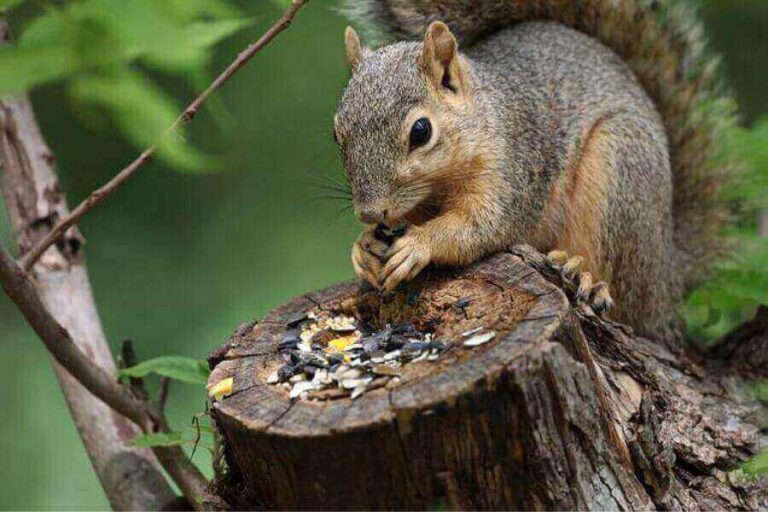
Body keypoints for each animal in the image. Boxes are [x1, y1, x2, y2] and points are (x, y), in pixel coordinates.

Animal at [333, 0, 735, 340]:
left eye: (421, 131)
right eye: (338, 133)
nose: (369, 212)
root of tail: (669, 279)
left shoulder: (514, 170)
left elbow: (481, 227)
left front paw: (417, 244)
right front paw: (364, 247)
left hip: (621, 170)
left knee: (626, 298)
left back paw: (587, 278)